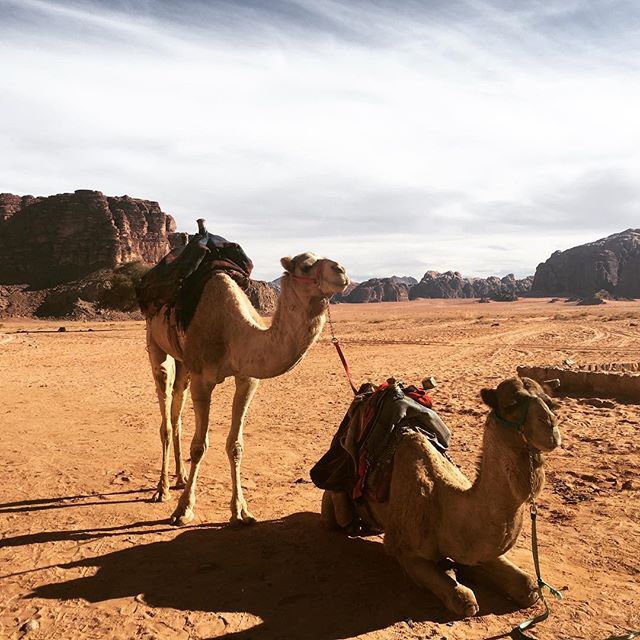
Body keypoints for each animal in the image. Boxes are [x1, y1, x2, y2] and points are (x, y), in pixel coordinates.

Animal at [146, 250, 350, 524]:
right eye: (306, 266)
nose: (341, 271)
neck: (233, 333)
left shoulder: (248, 379)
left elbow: (236, 445)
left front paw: (240, 512)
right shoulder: (202, 379)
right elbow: (199, 447)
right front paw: (183, 510)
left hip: (184, 363)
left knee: (177, 410)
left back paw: (180, 478)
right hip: (156, 344)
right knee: (166, 415)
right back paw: (162, 489)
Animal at [320, 378, 560, 616]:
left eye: (550, 402)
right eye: (511, 404)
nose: (551, 427)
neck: (446, 506)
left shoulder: (478, 551)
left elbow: (530, 587)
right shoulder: (406, 552)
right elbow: (465, 601)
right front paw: (456, 576)